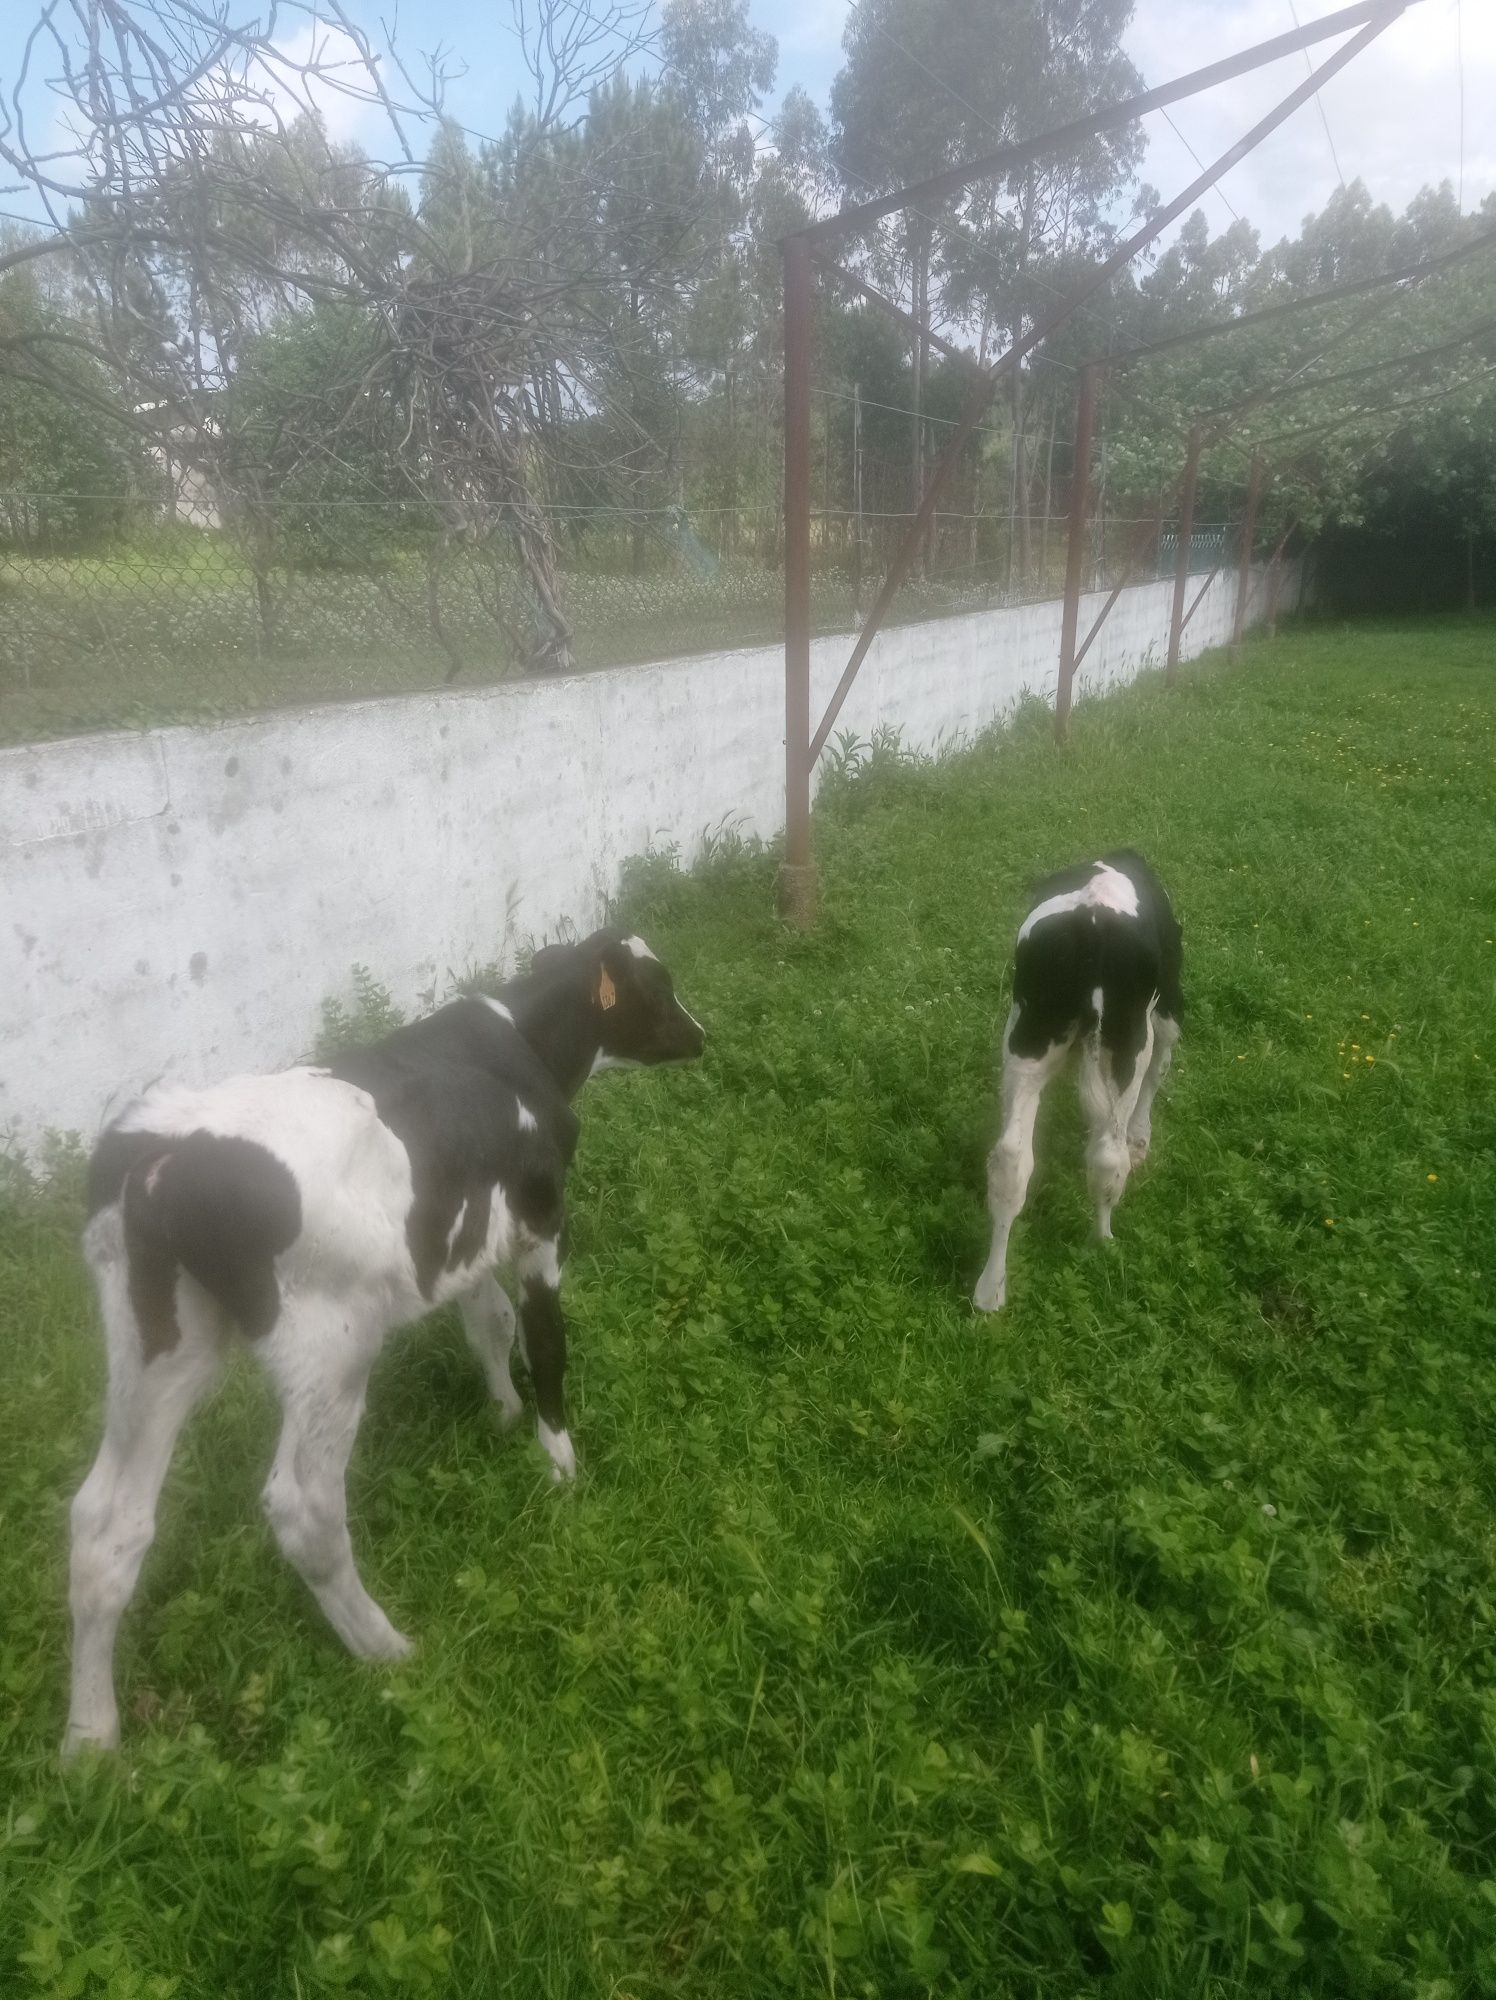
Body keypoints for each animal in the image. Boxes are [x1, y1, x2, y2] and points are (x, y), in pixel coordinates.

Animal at [64, 924, 708, 1752]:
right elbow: (544, 1341)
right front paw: (560, 1466)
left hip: (159, 1340)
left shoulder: (467, 1233)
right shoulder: (541, 1223)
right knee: (303, 1506)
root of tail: (162, 1153)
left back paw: (89, 1738)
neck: (518, 1041)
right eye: (658, 986)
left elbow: (489, 1324)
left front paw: (500, 1413)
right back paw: (387, 1650)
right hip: (330, 1343)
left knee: (106, 1521)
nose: (700, 1033)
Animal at [976, 856, 1184, 1312]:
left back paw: (990, 1291)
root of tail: (1092, 924)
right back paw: (1103, 1244)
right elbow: (1160, 1070)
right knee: (1109, 1153)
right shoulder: (1168, 1010)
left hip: (1027, 1035)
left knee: (1011, 1160)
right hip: (1130, 1040)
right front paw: (1142, 1141)